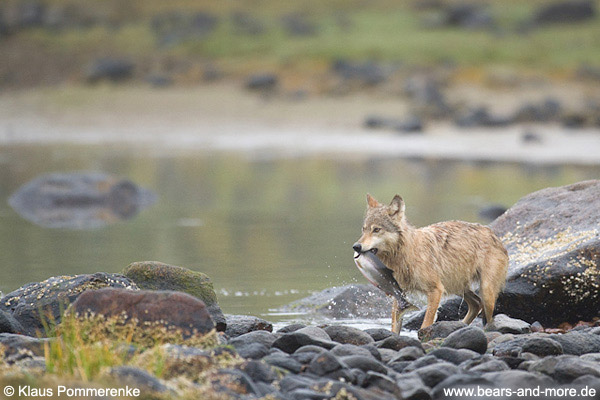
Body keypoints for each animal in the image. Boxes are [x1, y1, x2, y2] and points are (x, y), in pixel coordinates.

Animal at [354, 195, 508, 332]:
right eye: (363, 229)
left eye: (376, 229)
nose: (356, 247)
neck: (407, 254)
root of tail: (495, 235)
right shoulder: (398, 292)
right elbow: (394, 327)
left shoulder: (435, 290)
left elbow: (426, 323)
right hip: (456, 287)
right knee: (476, 304)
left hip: (485, 291)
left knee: (487, 316)